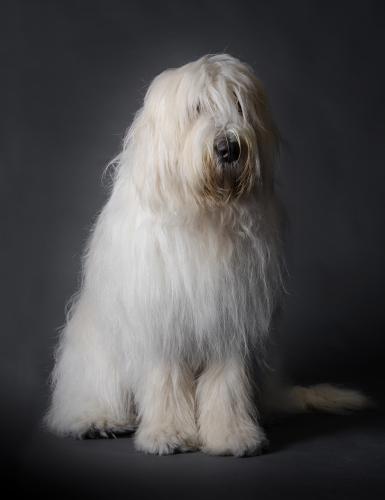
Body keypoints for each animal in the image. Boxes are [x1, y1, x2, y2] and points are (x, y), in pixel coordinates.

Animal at [45, 52, 368, 456]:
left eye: (239, 106)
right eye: (196, 108)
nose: (229, 148)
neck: (206, 214)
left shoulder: (231, 317)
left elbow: (225, 384)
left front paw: (232, 436)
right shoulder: (163, 319)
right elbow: (166, 380)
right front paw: (168, 434)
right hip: (95, 353)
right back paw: (95, 419)